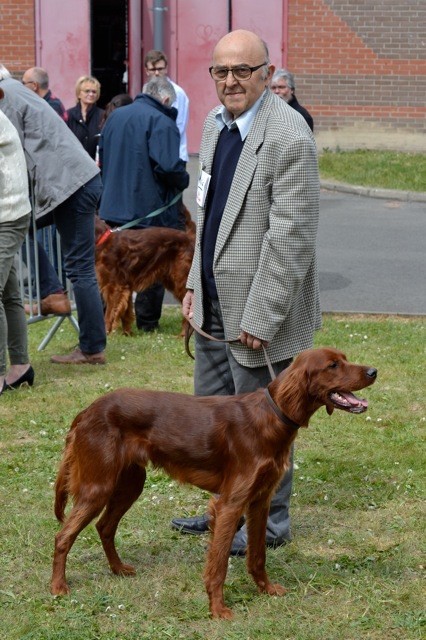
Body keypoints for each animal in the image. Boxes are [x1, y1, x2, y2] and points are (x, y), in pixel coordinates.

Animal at [50, 348, 376, 616]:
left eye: (344, 359)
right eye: (333, 365)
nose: (373, 371)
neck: (272, 415)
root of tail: (85, 412)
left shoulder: (261, 499)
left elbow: (257, 555)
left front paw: (266, 590)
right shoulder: (231, 503)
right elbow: (218, 564)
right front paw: (218, 608)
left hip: (130, 483)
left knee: (105, 527)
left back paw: (118, 569)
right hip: (99, 486)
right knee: (63, 535)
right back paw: (58, 588)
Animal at [95, 208, 195, 336]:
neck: (102, 239)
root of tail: (190, 237)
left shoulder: (115, 286)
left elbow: (110, 313)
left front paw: (107, 333)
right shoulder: (125, 287)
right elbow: (126, 314)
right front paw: (127, 334)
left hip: (180, 279)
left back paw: (183, 335)